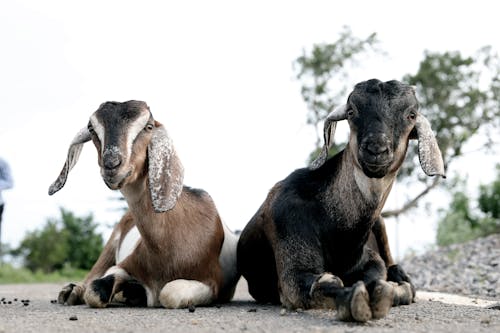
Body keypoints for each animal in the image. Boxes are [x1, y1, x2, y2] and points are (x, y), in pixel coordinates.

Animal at [49, 100, 240, 308]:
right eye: (91, 128)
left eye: (148, 127)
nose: (112, 164)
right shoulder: (124, 264)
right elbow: (95, 289)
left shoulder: (213, 283)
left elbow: (170, 293)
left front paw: (133, 292)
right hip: (110, 246)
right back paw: (71, 291)